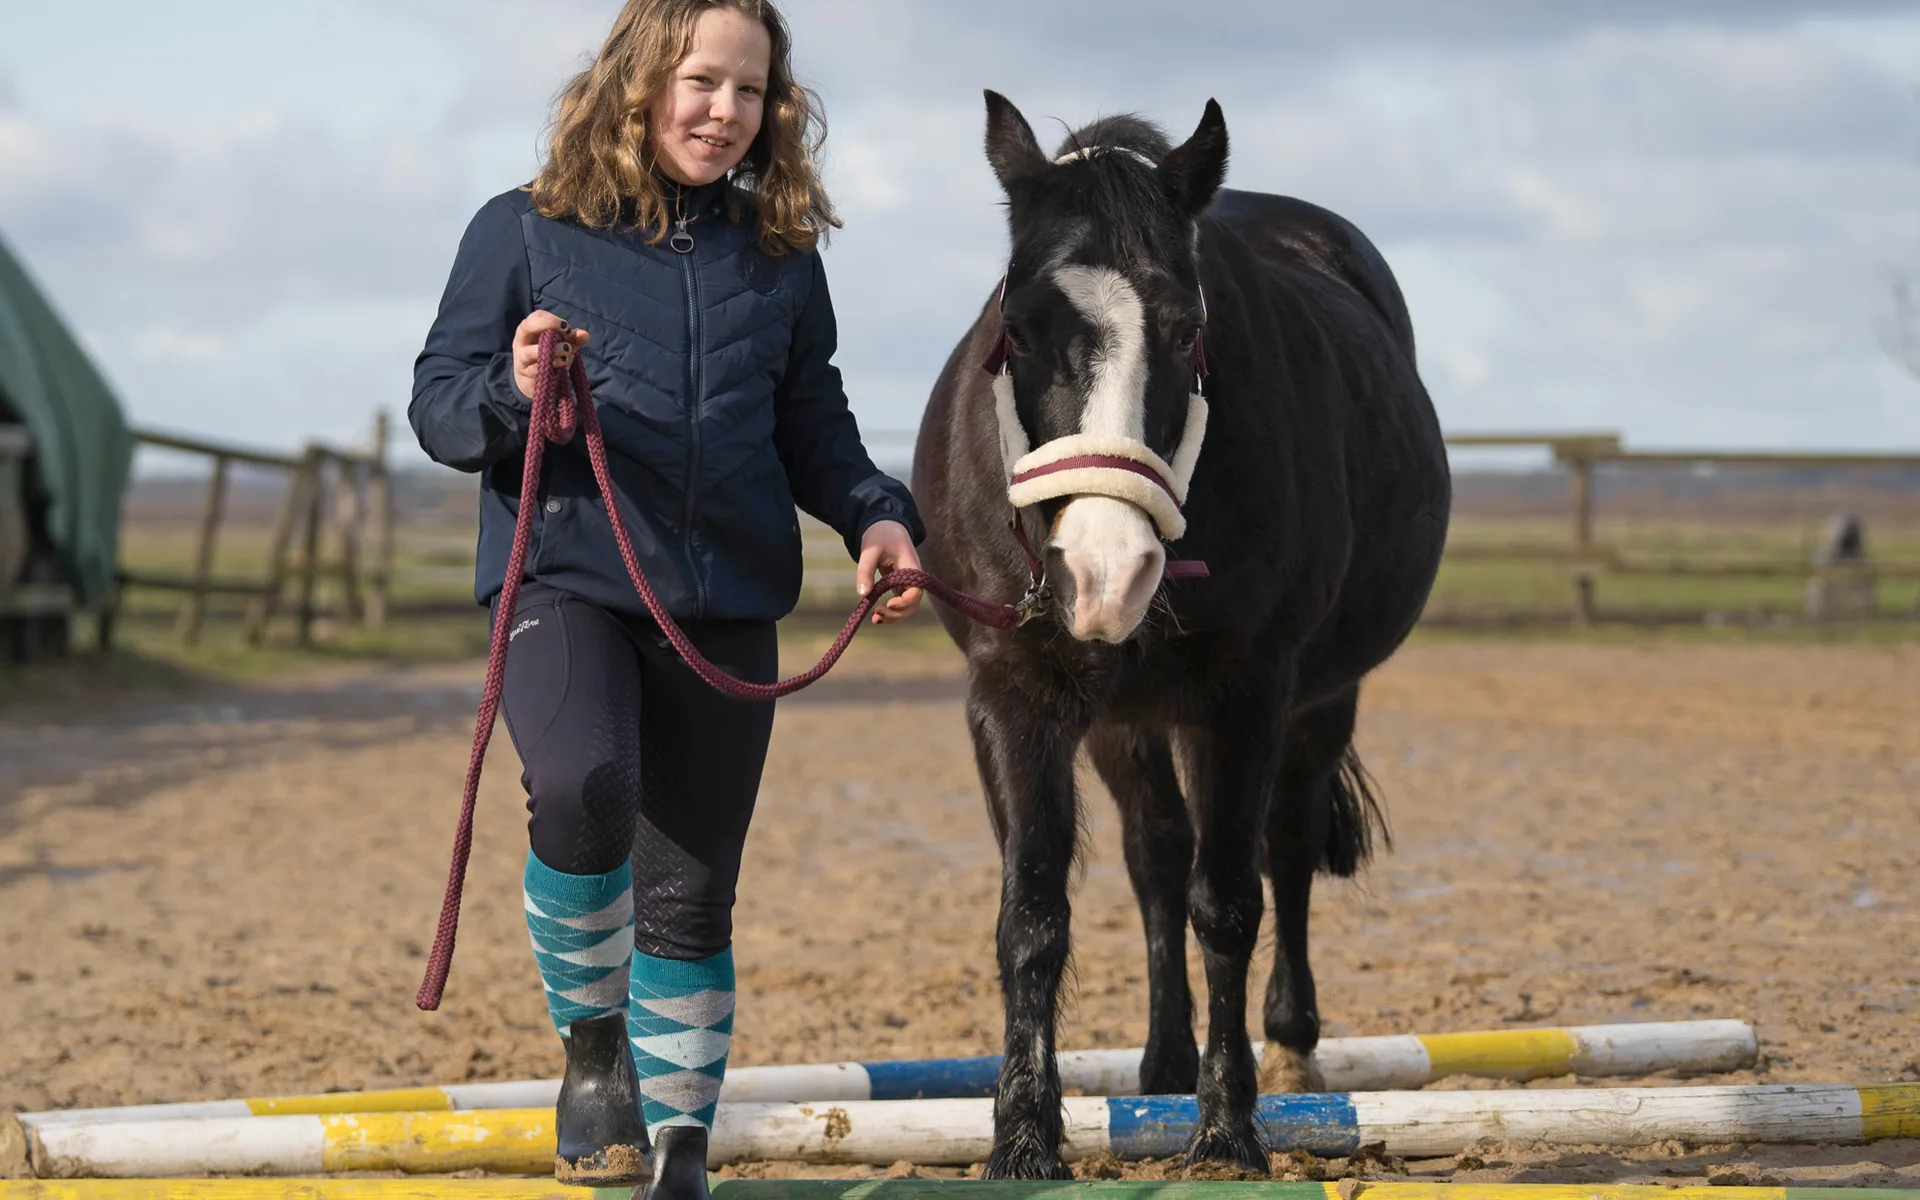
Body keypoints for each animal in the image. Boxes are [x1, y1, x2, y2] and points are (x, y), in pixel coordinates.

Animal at [910, 92, 1451, 1178]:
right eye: (1017, 327)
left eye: (1188, 326)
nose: (1103, 571)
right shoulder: (1016, 696)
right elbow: (1034, 914)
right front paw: (1023, 1138)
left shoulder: (1244, 697)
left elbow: (1229, 903)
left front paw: (1229, 1127)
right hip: (1126, 723)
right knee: (1155, 855)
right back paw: (1160, 1064)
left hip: (1317, 703)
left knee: (1283, 851)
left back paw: (1289, 1049)